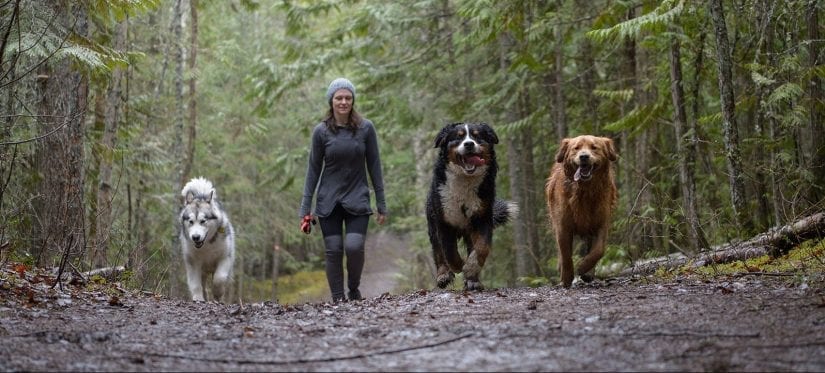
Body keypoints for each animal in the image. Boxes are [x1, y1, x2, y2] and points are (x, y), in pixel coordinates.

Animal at [424, 122, 516, 290]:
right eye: (458, 137)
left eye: (477, 136)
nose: (469, 144)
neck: (465, 180)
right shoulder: (444, 220)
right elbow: (449, 251)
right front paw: (458, 266)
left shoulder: (482, 216)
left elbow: (482, 247)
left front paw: (471, 269)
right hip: (432, 222)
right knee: (438, 250)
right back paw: (443, 274)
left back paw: (473, 280)